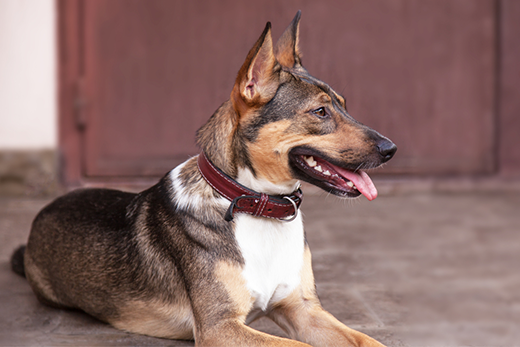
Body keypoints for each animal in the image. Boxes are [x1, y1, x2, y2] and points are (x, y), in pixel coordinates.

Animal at [11, 10, 394, 347]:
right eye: (320, 112)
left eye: (344, 104)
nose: (391, 149)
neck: (256, 205)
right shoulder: (219, 326)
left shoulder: (302, 309)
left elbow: (368, 340)